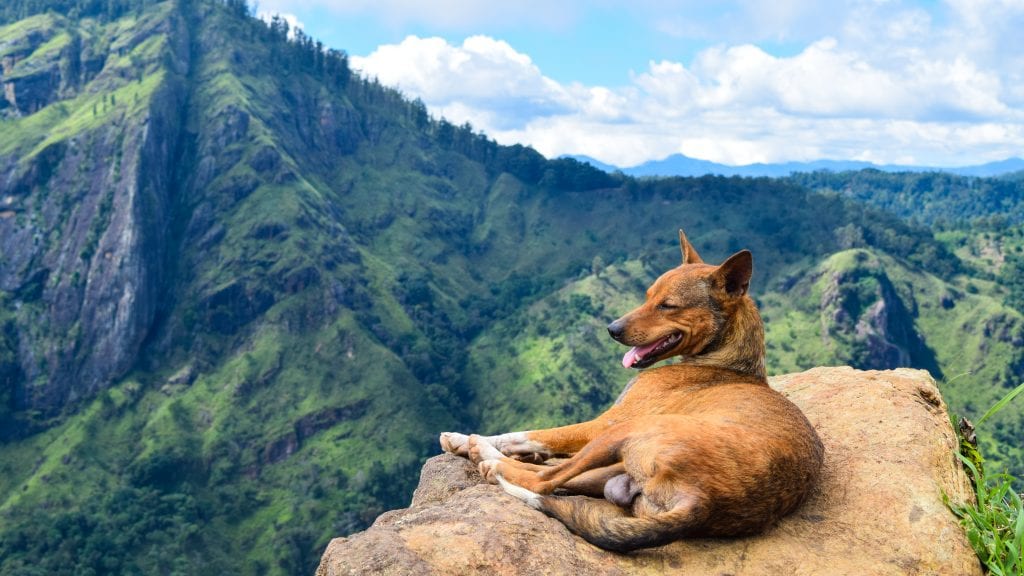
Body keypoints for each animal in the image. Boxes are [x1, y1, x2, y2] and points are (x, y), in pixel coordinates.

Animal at [440, 228, 823, 553]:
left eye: (668, 305)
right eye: (647, 296)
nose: (612, 329)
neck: (724, 360)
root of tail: (704, 501)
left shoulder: (603, 423)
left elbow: (534, 433)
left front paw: (471, 437)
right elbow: (536, 441)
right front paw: (471, 441)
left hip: (624, 432)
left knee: (545, 481)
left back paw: (486, 455)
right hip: (614, 467)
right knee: (558, 475)